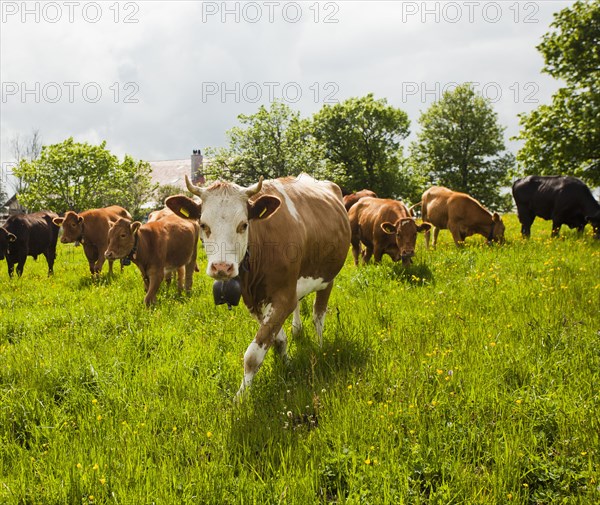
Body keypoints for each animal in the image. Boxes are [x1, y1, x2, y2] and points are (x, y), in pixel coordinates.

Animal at [165, 173, 352, 398]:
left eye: (244, 225)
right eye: (203, 224)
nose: (222, 267)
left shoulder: (283, 297)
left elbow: (253, 355)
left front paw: (241, 398)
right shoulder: (254, 300)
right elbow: (277, 338)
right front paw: (286, 364)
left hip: (328, 278)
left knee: (318, 315)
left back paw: (320, 345)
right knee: (300, 306)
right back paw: (298, 330)